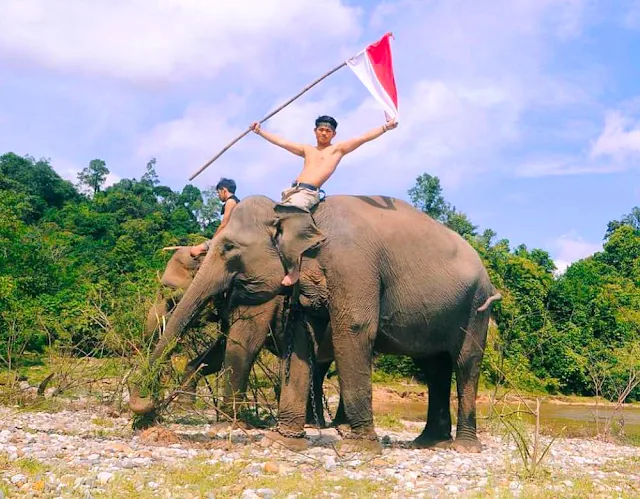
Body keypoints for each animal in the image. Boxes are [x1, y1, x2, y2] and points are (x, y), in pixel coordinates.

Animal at [130, 195, 500, 454]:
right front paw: (283, 441)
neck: (303, 216)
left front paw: (358, 448)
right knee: (433, 367)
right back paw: (427, 442)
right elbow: (298, 341)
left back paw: (462, 446)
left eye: (229, 248)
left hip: (476, 306)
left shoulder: (352, 265)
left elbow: (351, 329)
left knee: (465, 363)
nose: (142, 415)